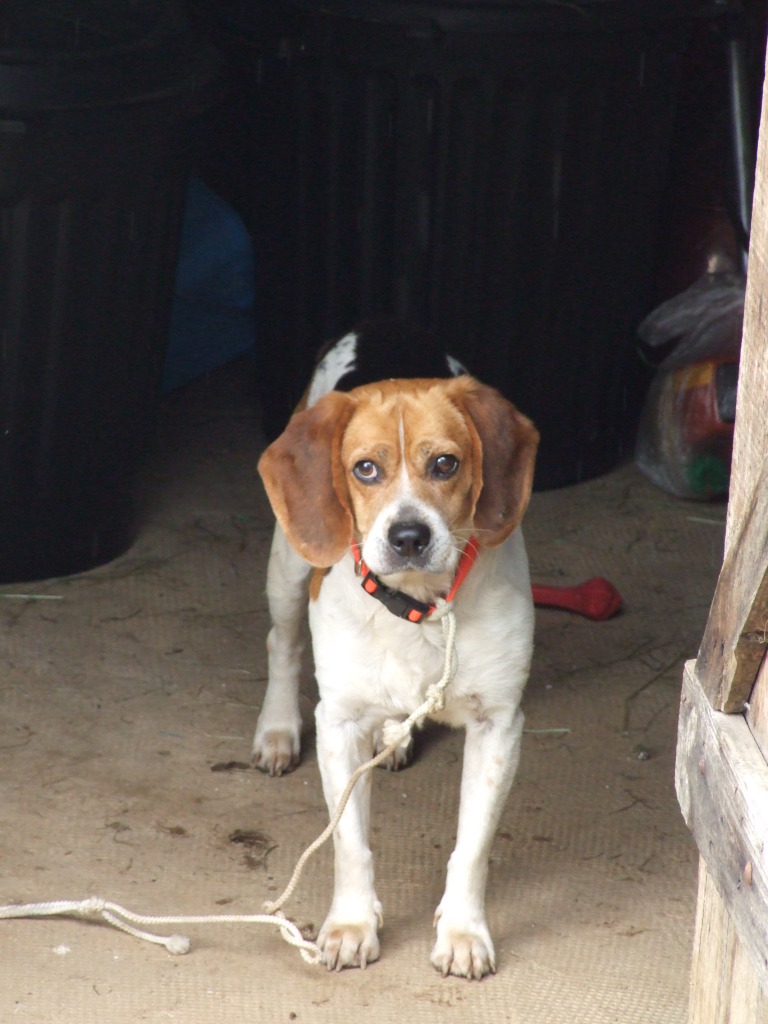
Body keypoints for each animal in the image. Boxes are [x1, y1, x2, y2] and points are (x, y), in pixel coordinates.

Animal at [253, 325, 540, 974]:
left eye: (445, 463)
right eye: (365, 469)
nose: (409, 536)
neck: (417, 608)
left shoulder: (498, 725)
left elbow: (472, 847)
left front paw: (463, 932)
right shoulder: (339, 724)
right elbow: (350, 844)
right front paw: (351, 925)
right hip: (288, 566)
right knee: (282, 642)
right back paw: (276, 730)